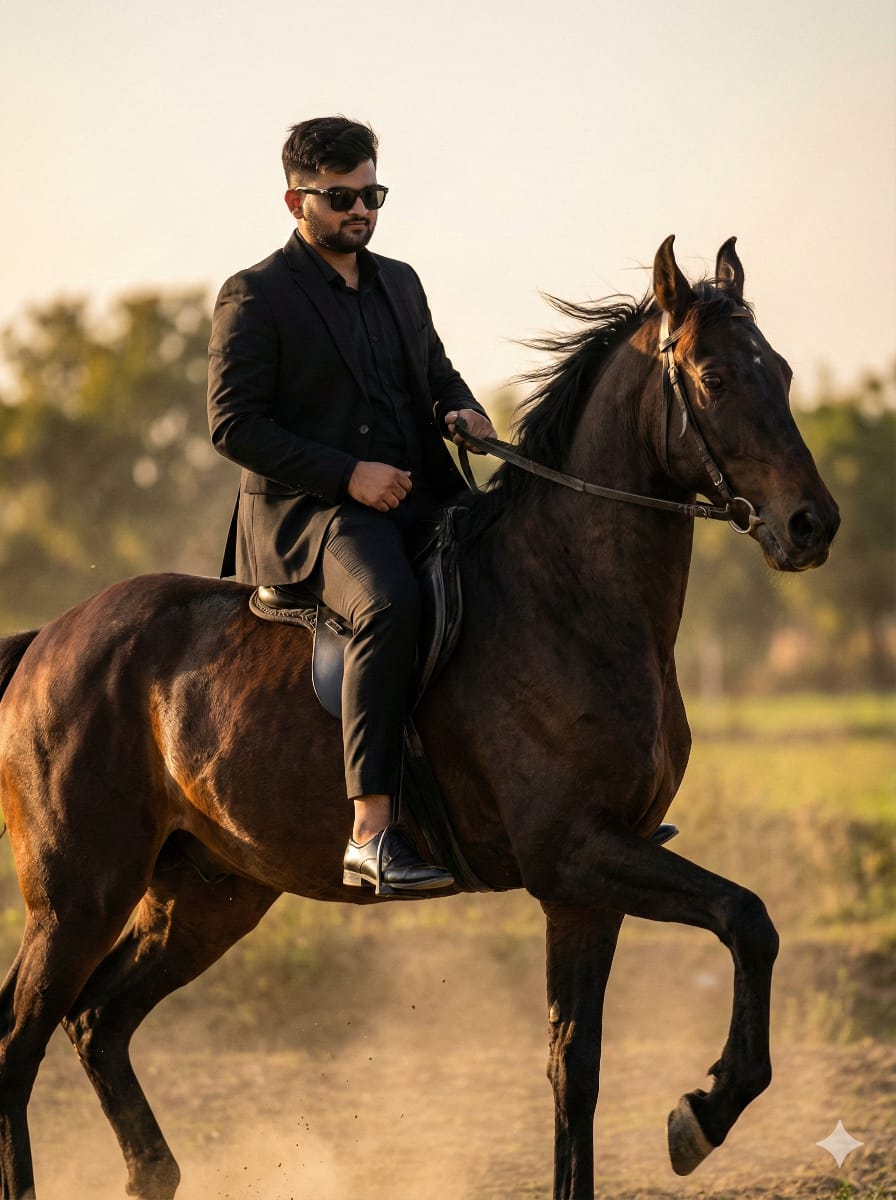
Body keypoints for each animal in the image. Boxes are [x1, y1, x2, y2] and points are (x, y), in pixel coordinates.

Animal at [0, 236, 839, 1200]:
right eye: (712, 377)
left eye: (781, 371)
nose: (813, 525)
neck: (571, 597)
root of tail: (46, 640)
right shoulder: (575, 853)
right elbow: (748, 918)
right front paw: (704, 1111)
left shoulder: (586, 885)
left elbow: (576, 1065)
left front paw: (685, 1117)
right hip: (77, 895)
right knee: (20, 1042)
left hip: (207, 893)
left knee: (97, 1022)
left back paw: (155, 1174)